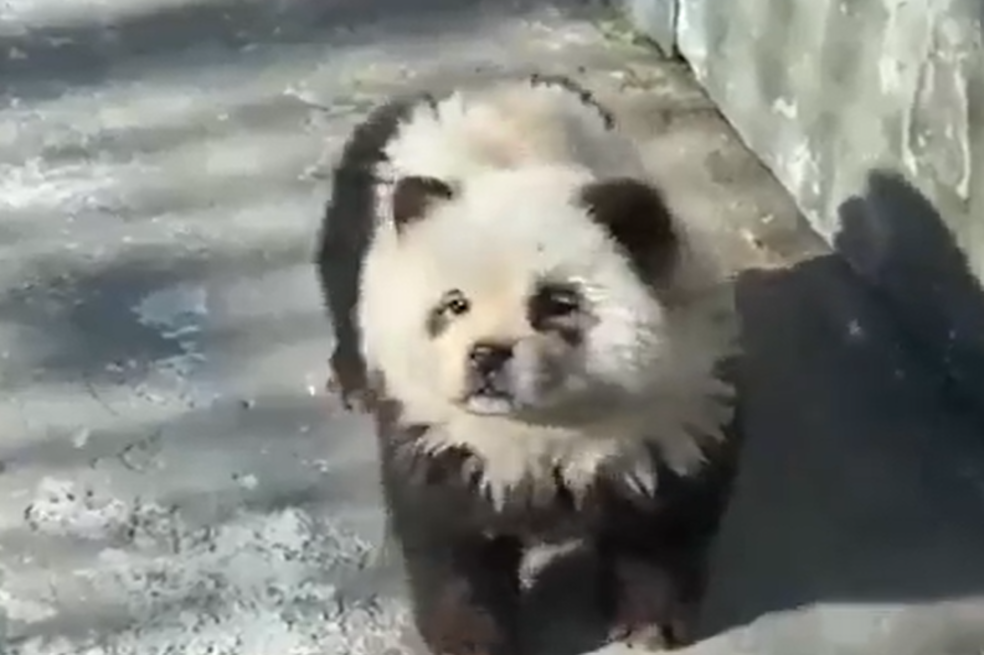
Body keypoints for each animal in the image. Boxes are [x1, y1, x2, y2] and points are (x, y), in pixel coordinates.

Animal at [314, 74, 740, 655]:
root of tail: (476, 84)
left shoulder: (674, 413)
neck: (546, 429)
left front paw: (647, 627)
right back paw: (354, 383)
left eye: (556, 303)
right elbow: (451, 543)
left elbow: (664, 527)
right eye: (454, 304)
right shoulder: (441, 434)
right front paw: (469, 640)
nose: (486, 356)